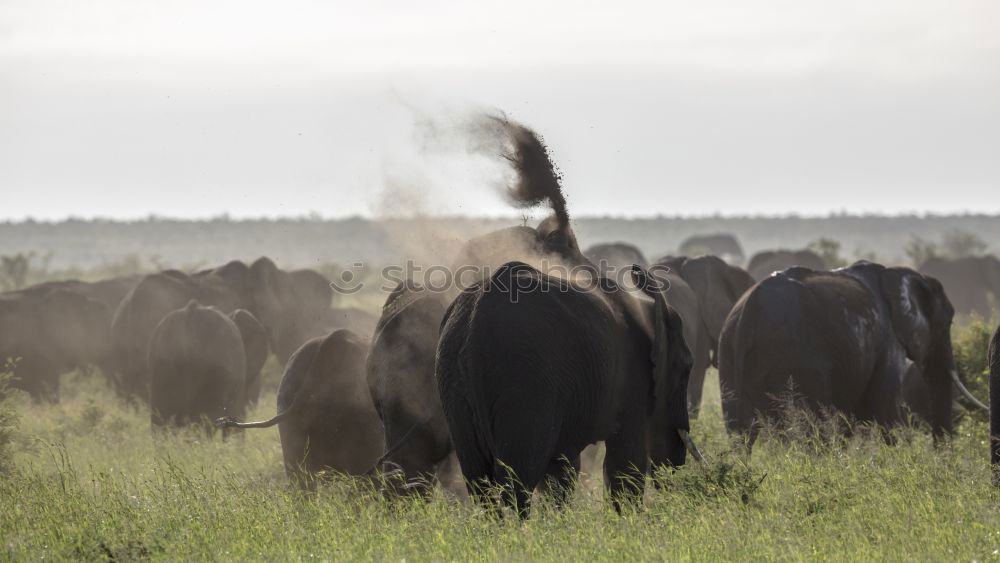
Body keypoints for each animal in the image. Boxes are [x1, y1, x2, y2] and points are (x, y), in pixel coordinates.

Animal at [438, 262, 696, 516]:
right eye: (686, 369)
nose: (677, 469)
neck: (648, 307)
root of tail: (472, 327)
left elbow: (562, 471)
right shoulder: (632, 380)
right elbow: (625, 464)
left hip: (454, 387)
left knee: (480, 481)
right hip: (525, 383)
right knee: (517, 481)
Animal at [716, 262, 956, 450]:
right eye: (947, 323)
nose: (939, 452)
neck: (895, 273)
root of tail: (749, 310)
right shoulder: (887, 341)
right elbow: (886, 410)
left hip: (728, 352)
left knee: (740, 432)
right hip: (798, 358)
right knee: (811, 427)